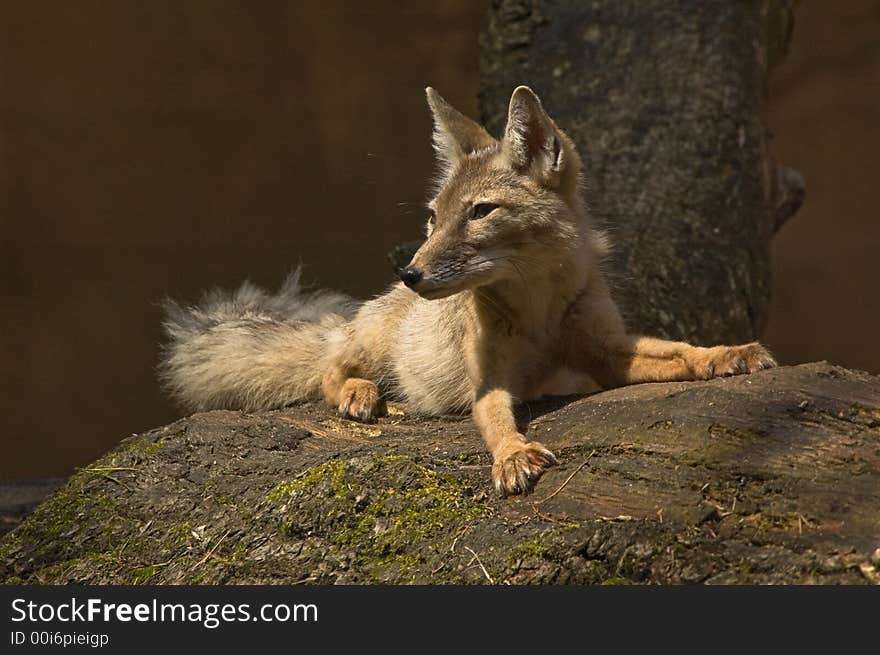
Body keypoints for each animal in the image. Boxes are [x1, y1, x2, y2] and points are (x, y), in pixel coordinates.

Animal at [160, 86, 776, 498]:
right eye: (433, 218)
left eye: (480, 212)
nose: (410, 273)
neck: (538, 311)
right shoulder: (491, 384)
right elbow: (498, 422)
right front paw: (513, 456)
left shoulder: (605, 353)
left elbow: (682, 352)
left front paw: (728, 352)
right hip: (367, 346)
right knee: (328, 370)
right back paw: (358, 391)